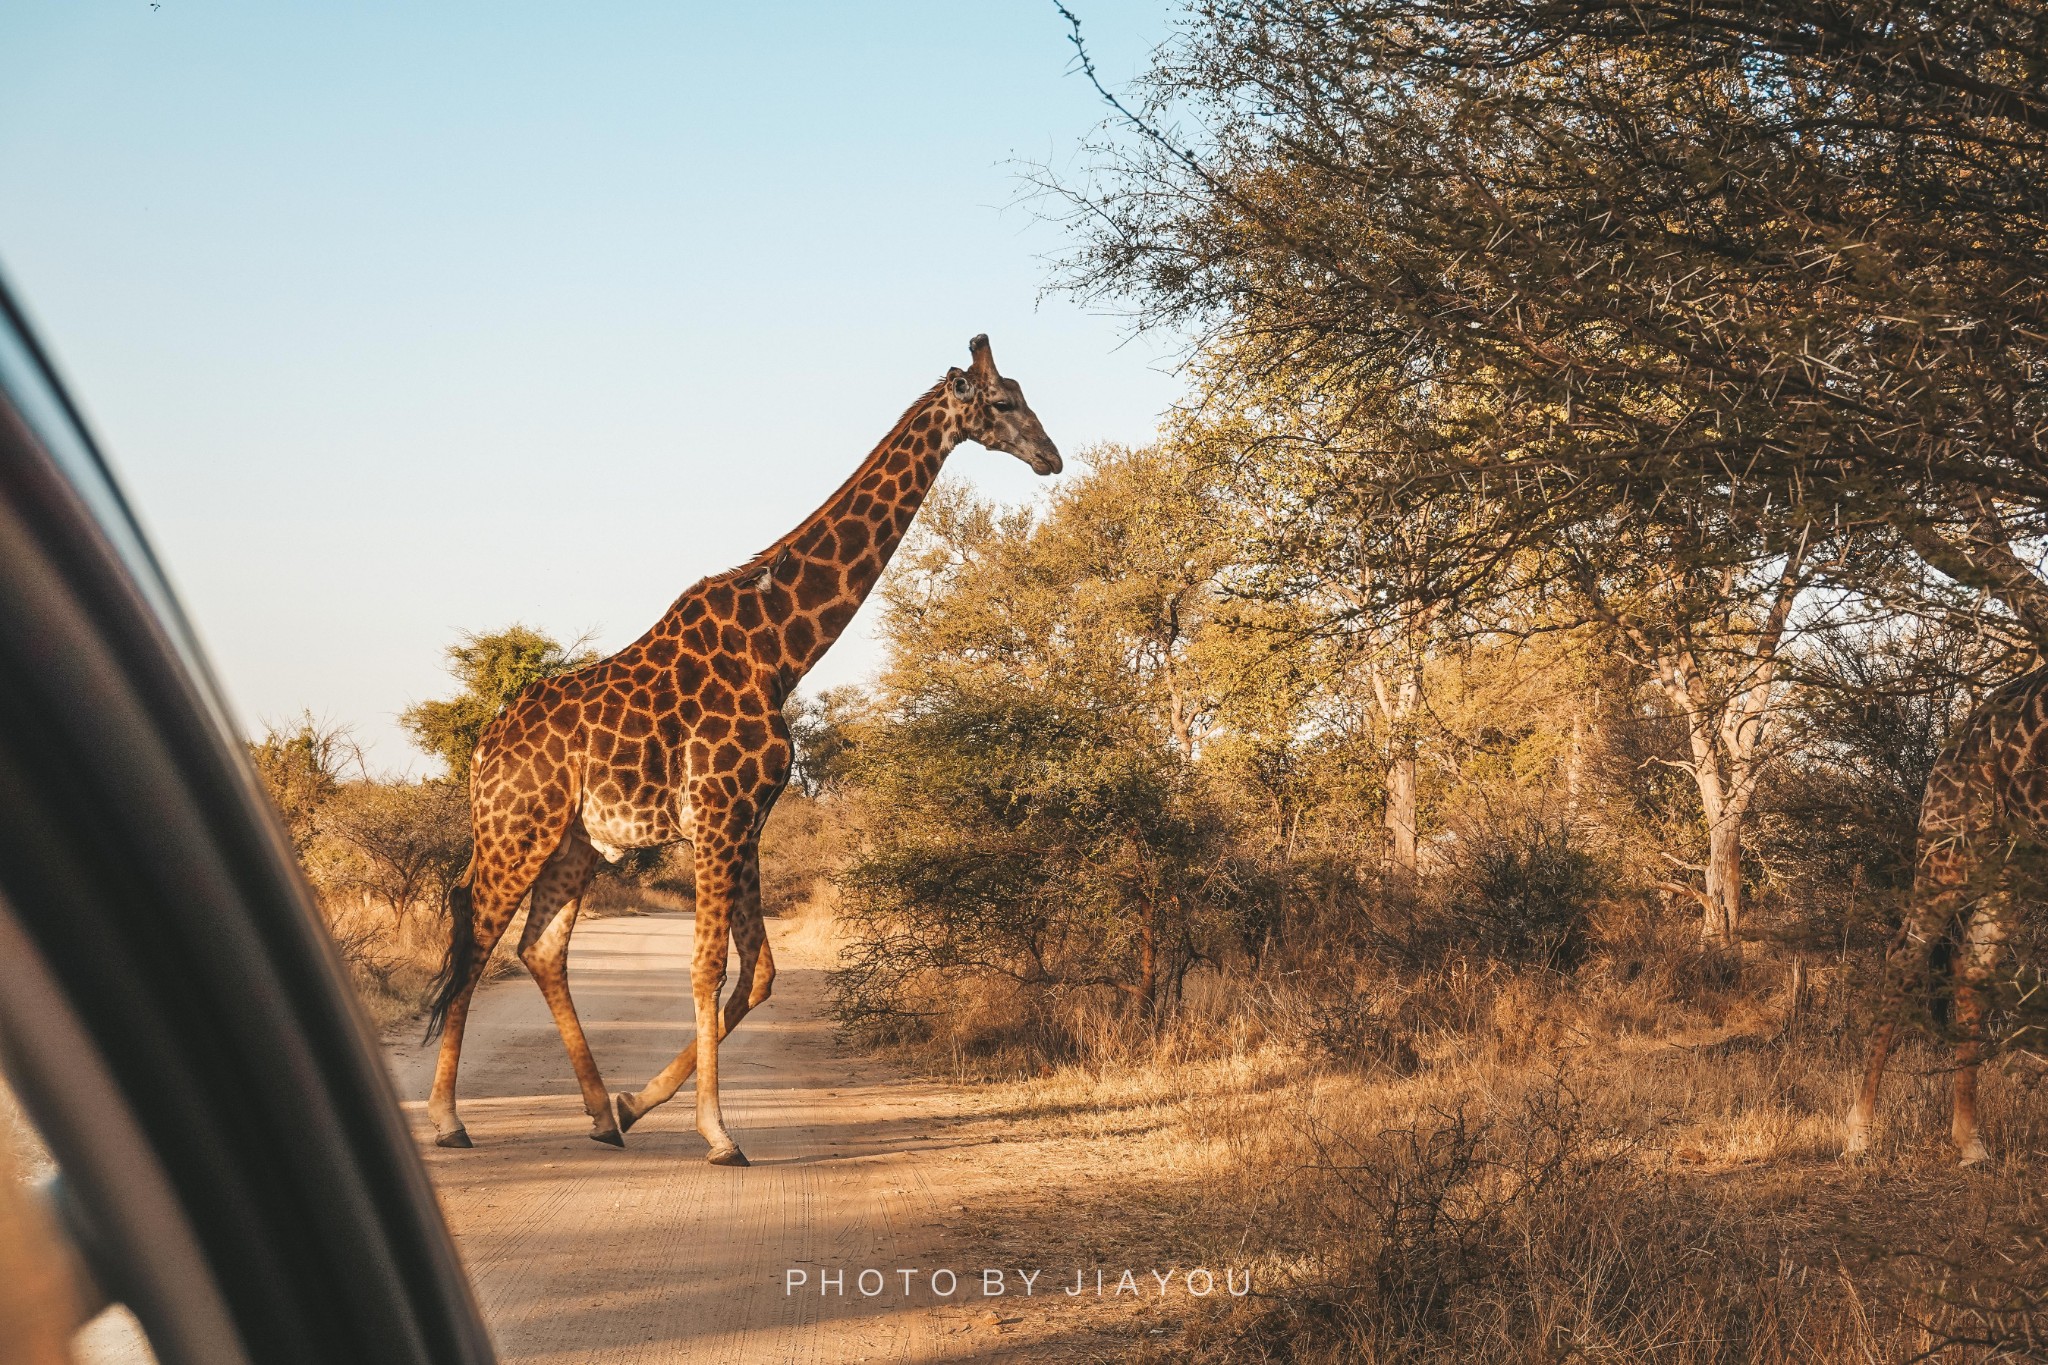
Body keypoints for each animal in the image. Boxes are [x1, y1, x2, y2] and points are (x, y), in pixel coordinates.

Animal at [415, 339, 1056, 1162]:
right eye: (1002, 402)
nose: (1051, 457)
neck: (781, 649)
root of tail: (483, 750)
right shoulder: (720, 814)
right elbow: (708, 967)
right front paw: (718, 1133)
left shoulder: (749, 817)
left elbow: (759, 974)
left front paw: (635, 1103)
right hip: (516, 828)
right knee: (475, 932)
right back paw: (447, 1119)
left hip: (575, 841)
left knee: (540, 948)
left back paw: (599, 1115)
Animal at [1851, 667, 2039, 1170]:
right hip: (1950, 847)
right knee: (1905, 956)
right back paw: (1858, 1132)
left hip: (2012, 862)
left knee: (1973, 964)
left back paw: (1971, 1142)